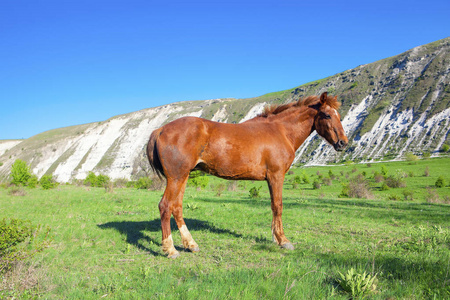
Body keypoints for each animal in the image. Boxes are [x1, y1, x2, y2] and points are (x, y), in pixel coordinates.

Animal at [148, 91, 348, 258]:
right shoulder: (276, 176)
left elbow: (274, 207)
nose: (343, 143)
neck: (281, 131)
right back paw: (171, 250)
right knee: (165, 206)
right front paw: (283, 241)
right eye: (327, 115)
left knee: (177, 207)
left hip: (183, 177)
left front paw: (276, 237)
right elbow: (278, 206)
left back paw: (191, 244)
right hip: (176, 177)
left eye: (339, 116)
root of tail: (160, 130)